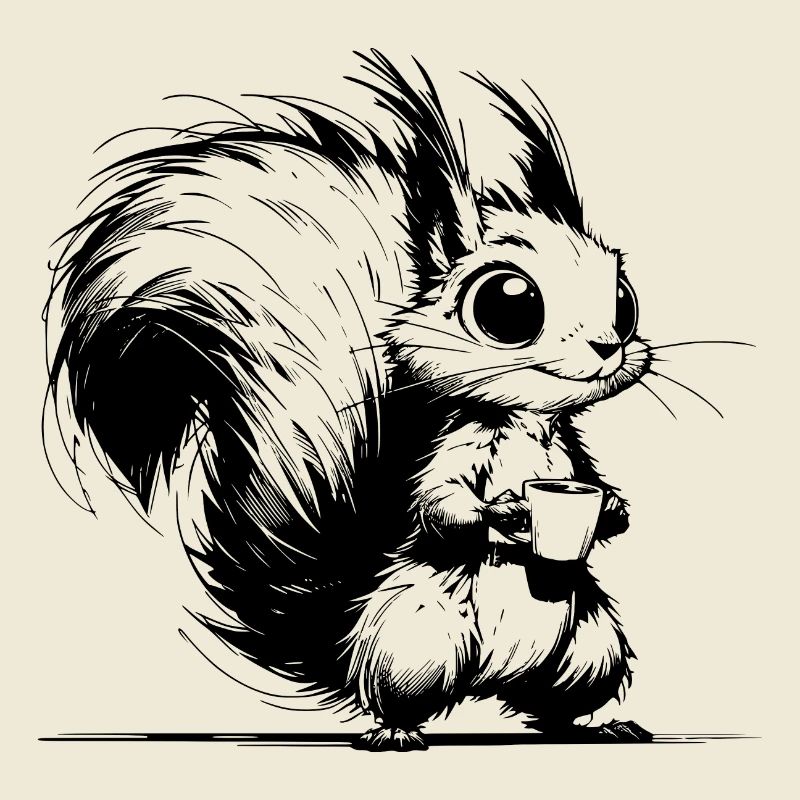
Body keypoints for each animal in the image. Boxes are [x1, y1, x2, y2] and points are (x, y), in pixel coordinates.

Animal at [45, 51, 654, 750]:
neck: (526, 422)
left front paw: (611, 509)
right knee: (403, 694)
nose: (609, 346)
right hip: (418, 638)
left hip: (591, 647)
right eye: (509, 305)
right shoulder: (453, 450)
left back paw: (598, 725)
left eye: (625, 300)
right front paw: (504, 513)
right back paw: (396, 731)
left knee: (553, 703)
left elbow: (591, 484)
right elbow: (441, 508)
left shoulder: (570, 450)